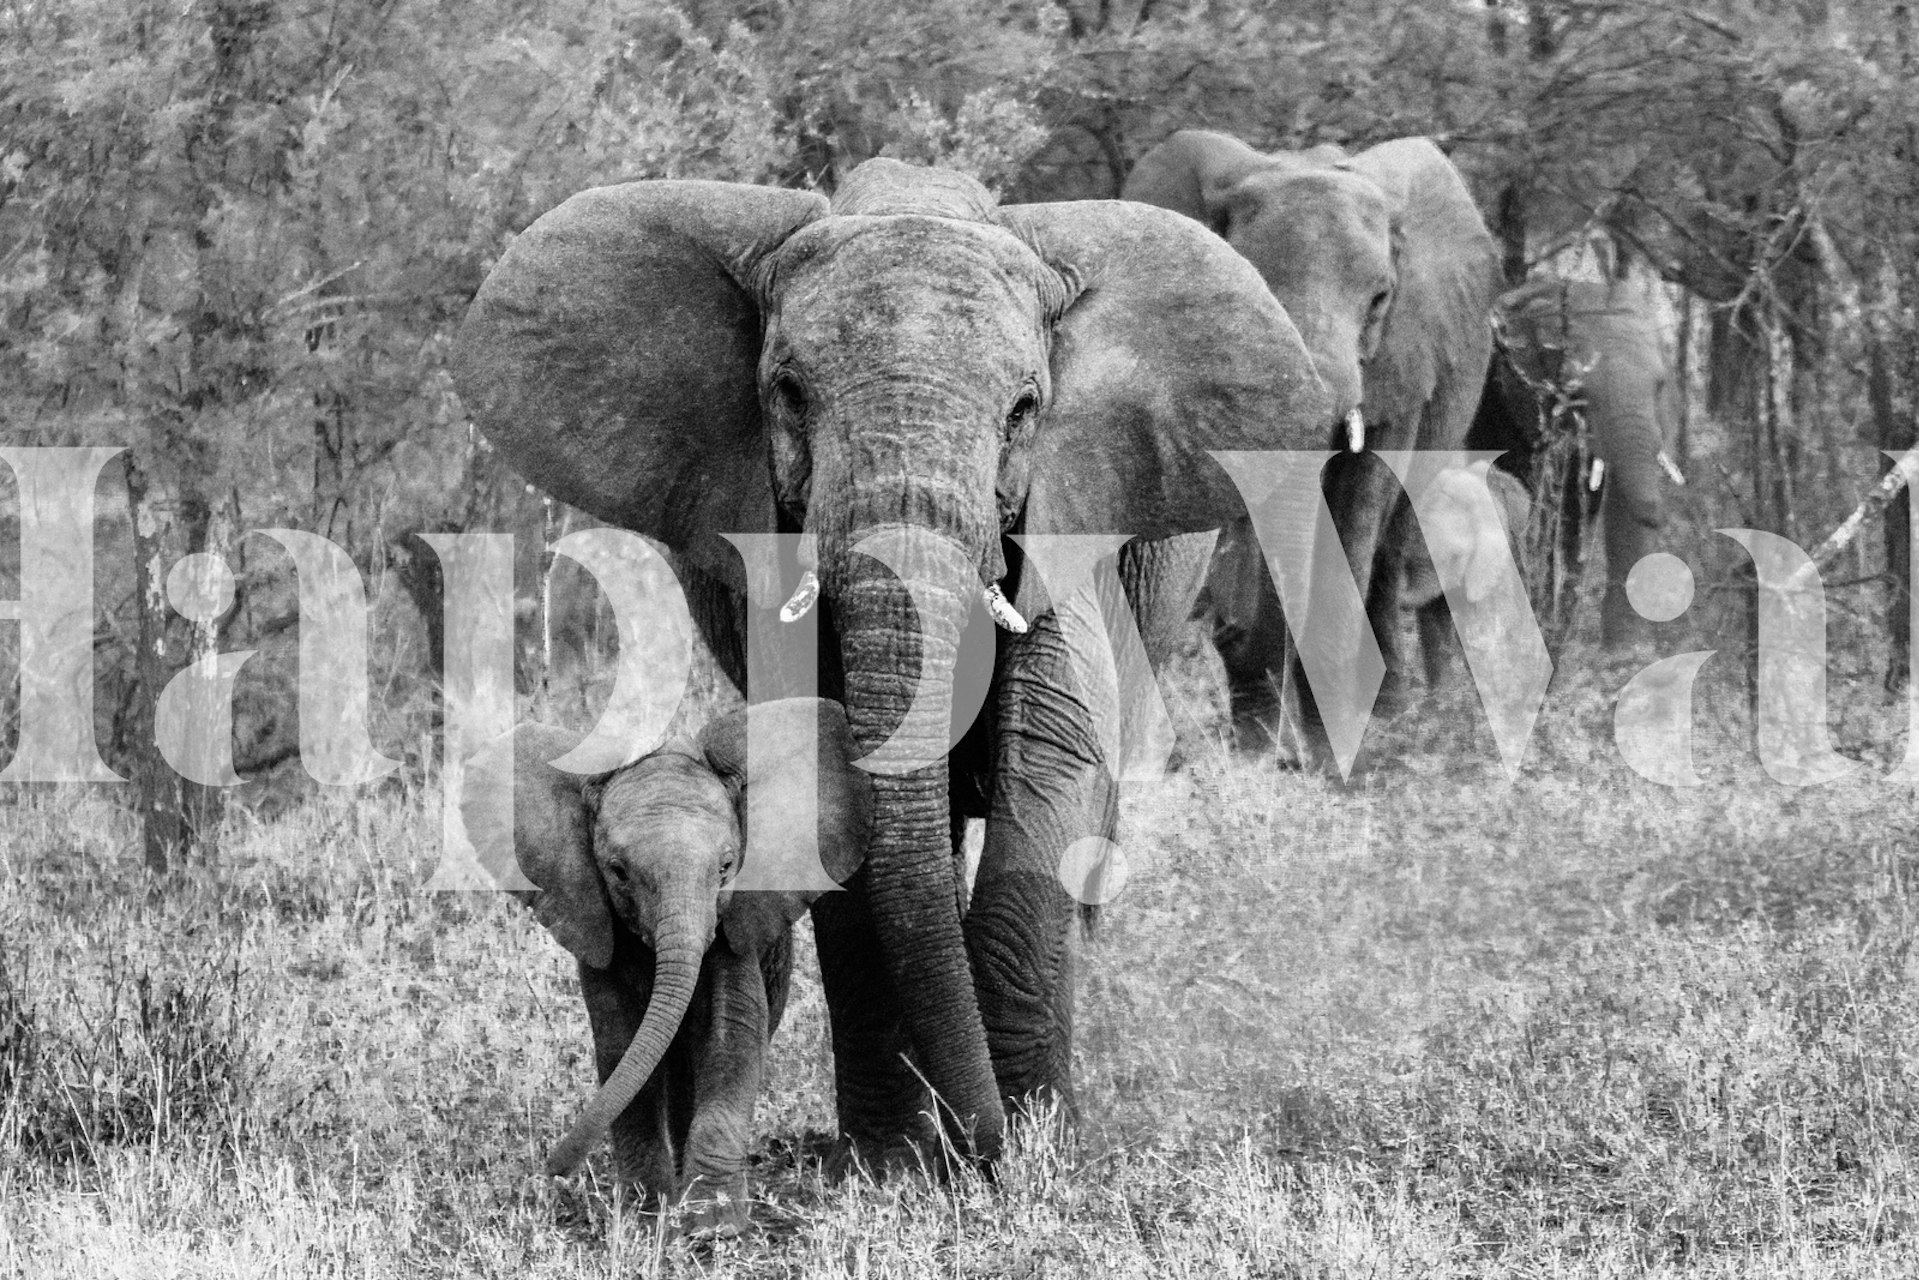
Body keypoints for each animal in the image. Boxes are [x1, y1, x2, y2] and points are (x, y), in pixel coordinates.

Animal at [451, 159, 1334, 1168]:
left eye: (1025, 410)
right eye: (788, 391)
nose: (984, 1149)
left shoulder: (1064, 519)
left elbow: (1049, 772)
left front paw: (1033, 1147)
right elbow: (831, 801)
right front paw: (897, 1164)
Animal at [461, 698, 870, 1234]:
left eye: (727, 867)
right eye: (617, 872)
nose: (551, 1170)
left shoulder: (733, 930)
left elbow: (730, 1036)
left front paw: (713, 1228)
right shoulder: (599, 929)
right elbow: (621, 1043)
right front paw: (646, 1218)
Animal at [1124, 130, 1502, 762]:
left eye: (1380, 299)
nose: (1229, 630)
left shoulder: (1403, 361)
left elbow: (1358, 509)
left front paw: (1325, 758)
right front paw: (1261, 752)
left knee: (1389, 549)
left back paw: (1390, 719)